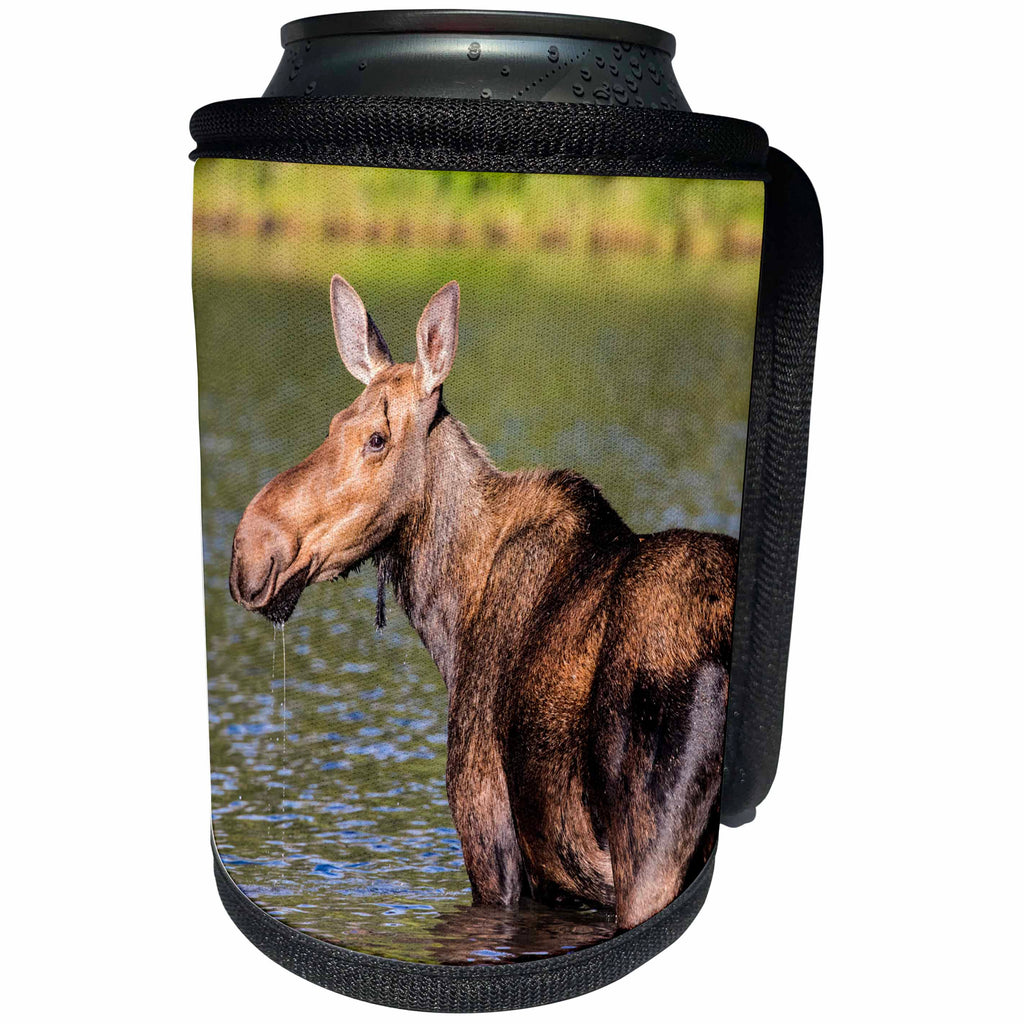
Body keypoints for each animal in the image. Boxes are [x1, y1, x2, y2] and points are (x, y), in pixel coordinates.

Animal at [229, 277, 737, 931]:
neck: (450, 619)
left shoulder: (489, 839)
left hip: (651, 853)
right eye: (333, 422)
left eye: (376, 438)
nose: (249, 549)